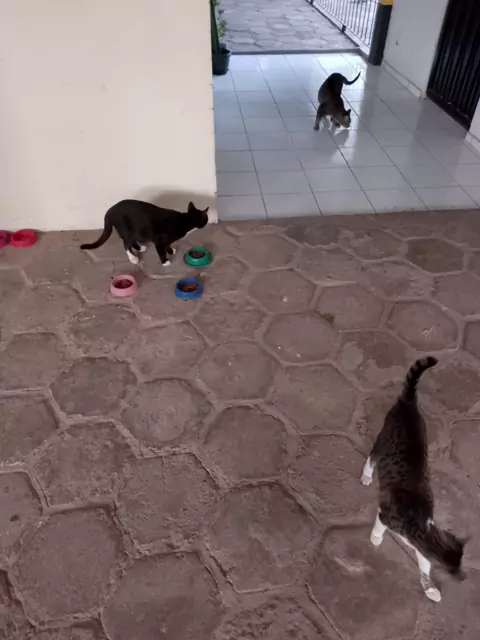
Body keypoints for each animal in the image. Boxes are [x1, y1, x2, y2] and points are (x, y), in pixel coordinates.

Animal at [80, 200, 209, 266]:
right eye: (206, 218)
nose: (207, 220)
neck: (184, 220)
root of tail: (109, 210)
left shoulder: (166, 240)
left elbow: (168, 245)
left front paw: (171, 251)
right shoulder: (159, 240)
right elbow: (161, 251)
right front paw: (165, 261)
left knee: (130, 242)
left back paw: (140, 248)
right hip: (128, 230)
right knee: (125, 244)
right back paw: (133, 258)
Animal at [361, 357, 466, 603]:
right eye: (454, 571)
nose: (464, 578)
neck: (424, 531)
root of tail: (409, 404)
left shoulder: (422, 551)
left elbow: (424, 568)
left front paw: (430, 588)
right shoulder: (386, 516)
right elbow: (379, 525)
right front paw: (376, 538)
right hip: (382, 442)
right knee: (371, 458)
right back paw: (367, 475)